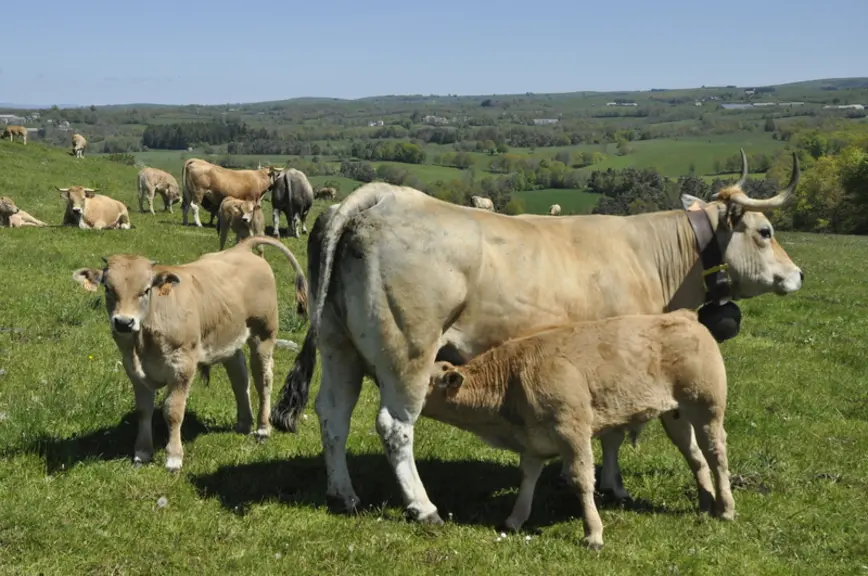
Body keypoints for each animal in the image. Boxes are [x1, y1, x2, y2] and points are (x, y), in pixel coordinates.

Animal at [70, 236, 309, 472]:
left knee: (263, 380)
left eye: (146, 290)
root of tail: (243, 248)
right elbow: (143, 410)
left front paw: (174, 458)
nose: (123, 322)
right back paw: (243, 423)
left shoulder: (182, 366)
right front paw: (142, 452)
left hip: (263, 335)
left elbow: (173, 411)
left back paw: (262, 429)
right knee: (239, 377)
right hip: (229, 337)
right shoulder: (133, 368)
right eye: (108, 289)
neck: (144, 342)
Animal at [423, 309, 734, 549]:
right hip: (676, 416)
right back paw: (705, 504)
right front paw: (514, 520)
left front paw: (593, 534)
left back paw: (726, 509)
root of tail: (683, 315)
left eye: (426, 381)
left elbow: (581, 480)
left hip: (707, 407)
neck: (513, 378)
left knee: (715, 454)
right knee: (696, 456)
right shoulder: (533, 442)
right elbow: (527, 478)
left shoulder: (572, 433)